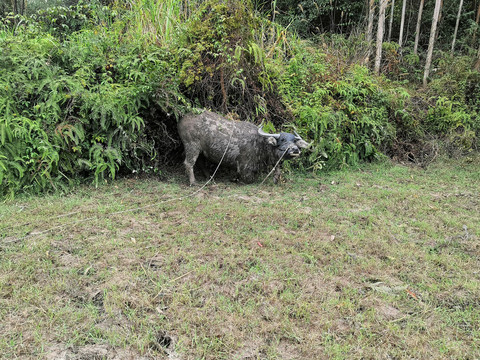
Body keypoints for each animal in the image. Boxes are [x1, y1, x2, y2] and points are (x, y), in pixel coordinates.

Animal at [178, 110, 310, 186]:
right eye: (282, 139)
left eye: (294, 141)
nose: (295, 150)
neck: (261, 144)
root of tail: (182, 119)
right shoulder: (244, 167)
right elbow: (249, 179)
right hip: (192, 146)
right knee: (188, 163)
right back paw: (193, 182)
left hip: (200, 150)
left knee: (200, 162)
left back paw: (210, 178)